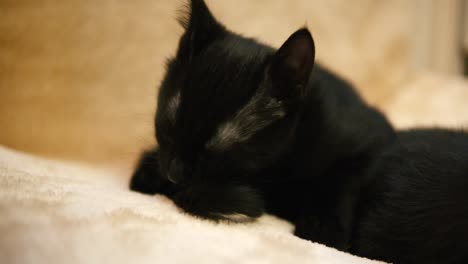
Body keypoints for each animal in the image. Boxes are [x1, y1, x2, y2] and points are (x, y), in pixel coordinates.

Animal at [130, 1, 468, 262]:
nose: (174, 172)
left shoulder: (370, 143)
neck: (278, 166)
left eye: (218, 148)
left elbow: (343, 178)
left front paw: (323, 227)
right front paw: (153, 174)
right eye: (168, 125)